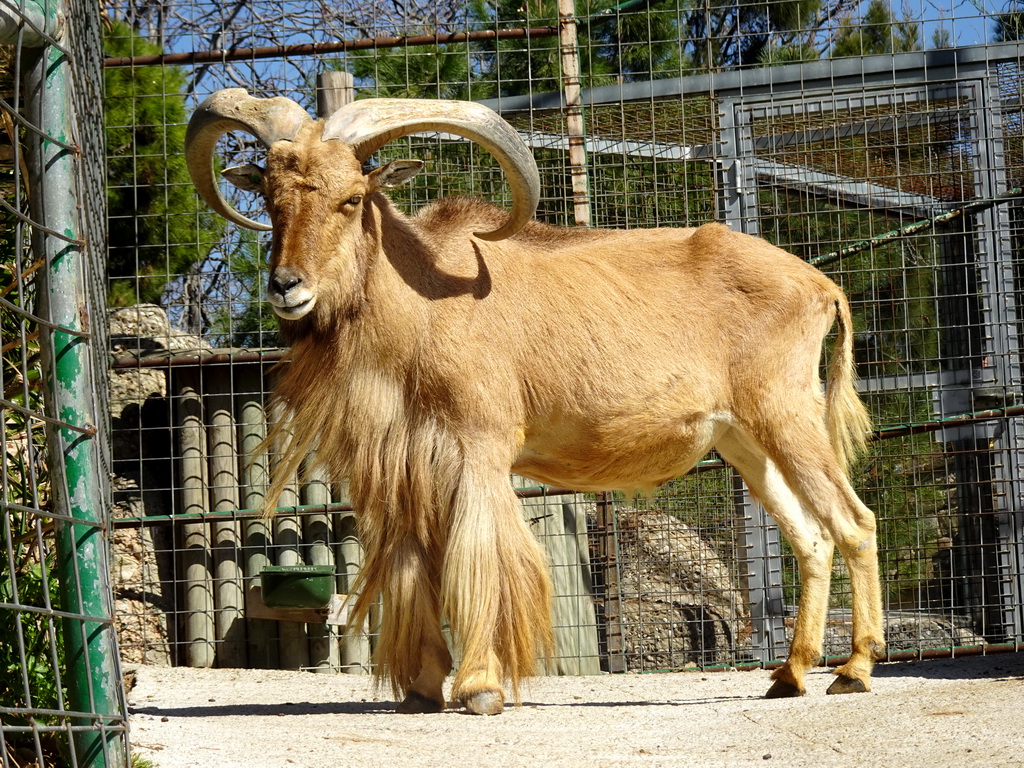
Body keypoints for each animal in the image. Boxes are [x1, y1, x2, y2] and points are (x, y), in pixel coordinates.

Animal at [186, 90, 888, 716]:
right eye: (271, 200)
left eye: (352, 198)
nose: (287, 287)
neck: (418, 310)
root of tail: (821, 284)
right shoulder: (405, 467)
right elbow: (416, 567)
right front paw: (422, 688)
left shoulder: (477, 450)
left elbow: (480, 560)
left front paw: (479, 688)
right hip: (745, 442)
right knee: (812, 539)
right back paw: (790, 674)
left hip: (788, 416)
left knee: (854, 524)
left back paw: (853, 669)